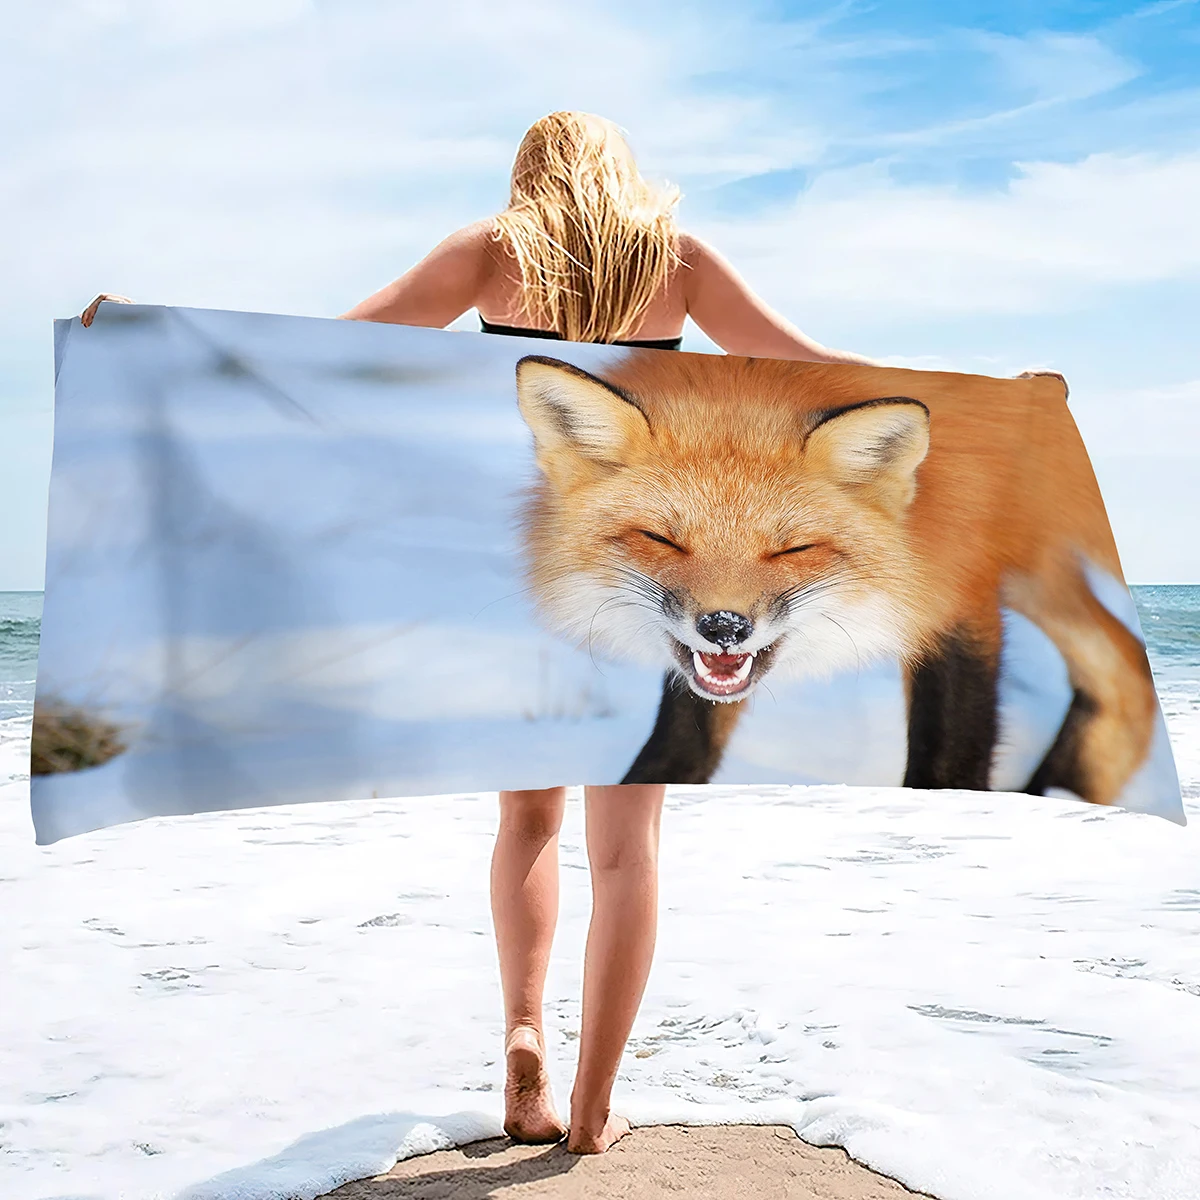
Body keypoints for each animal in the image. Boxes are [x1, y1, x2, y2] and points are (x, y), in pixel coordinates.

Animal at [512, 350, 1159, 807]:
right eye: (662, 539)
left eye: (792, 548)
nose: (724, 627)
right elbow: (680, 745)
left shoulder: (956, 589)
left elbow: (949, 759)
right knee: (1125, 668)